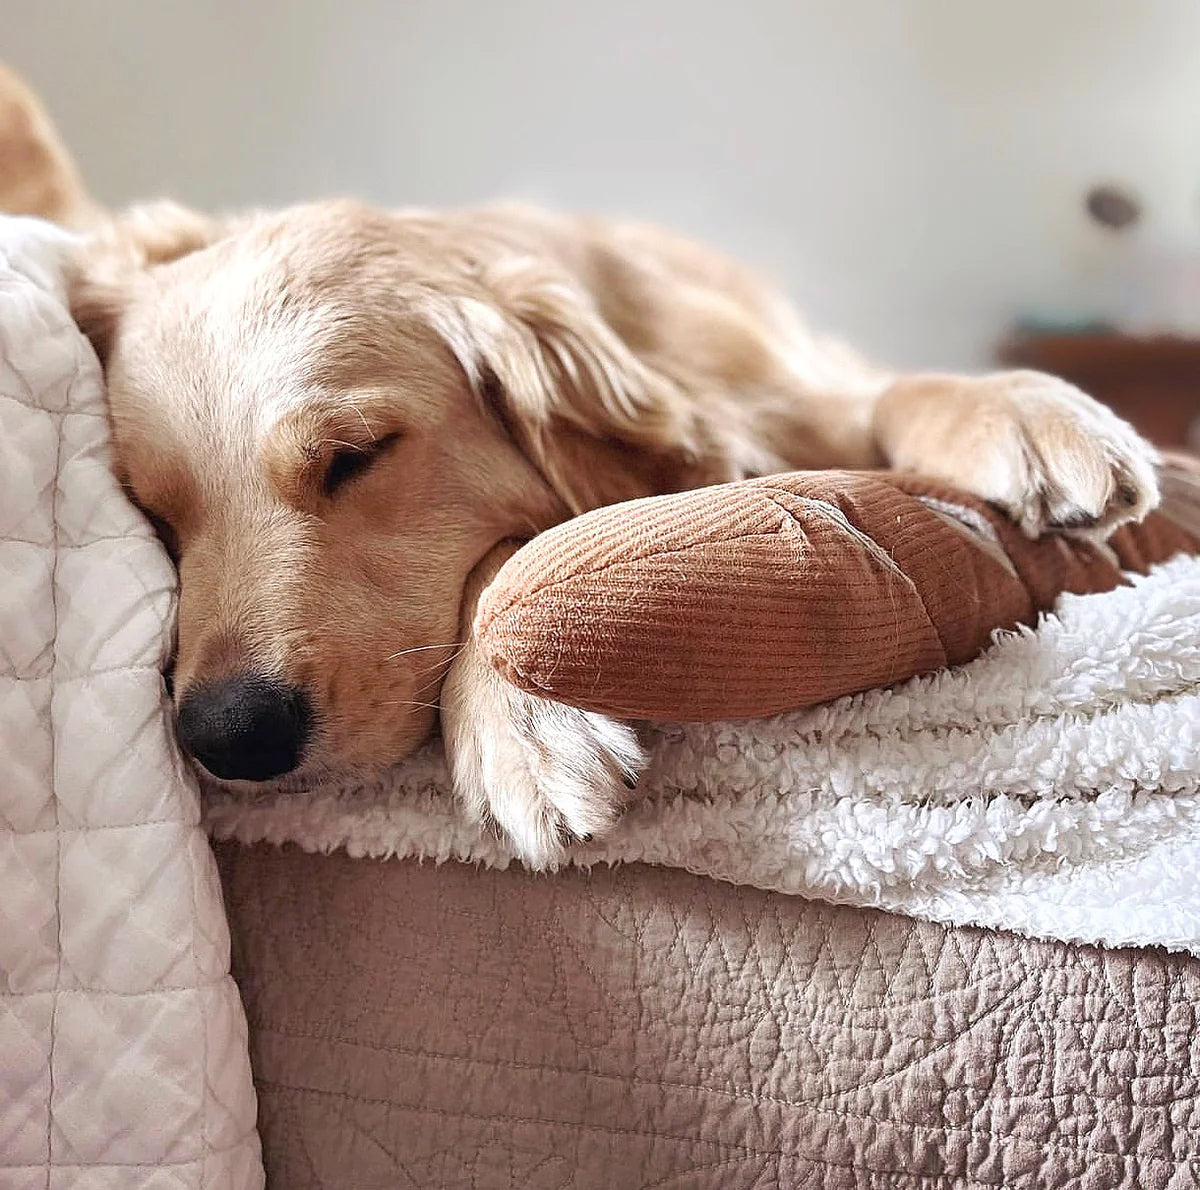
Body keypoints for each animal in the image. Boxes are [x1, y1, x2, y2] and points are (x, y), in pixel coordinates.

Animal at [0, 67, 1161, 863]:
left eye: (355, 458)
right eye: (153, 513)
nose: (228, 735)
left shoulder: (783, 392)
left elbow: (891, 389)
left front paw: (1032, 411)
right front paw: (523, 724)